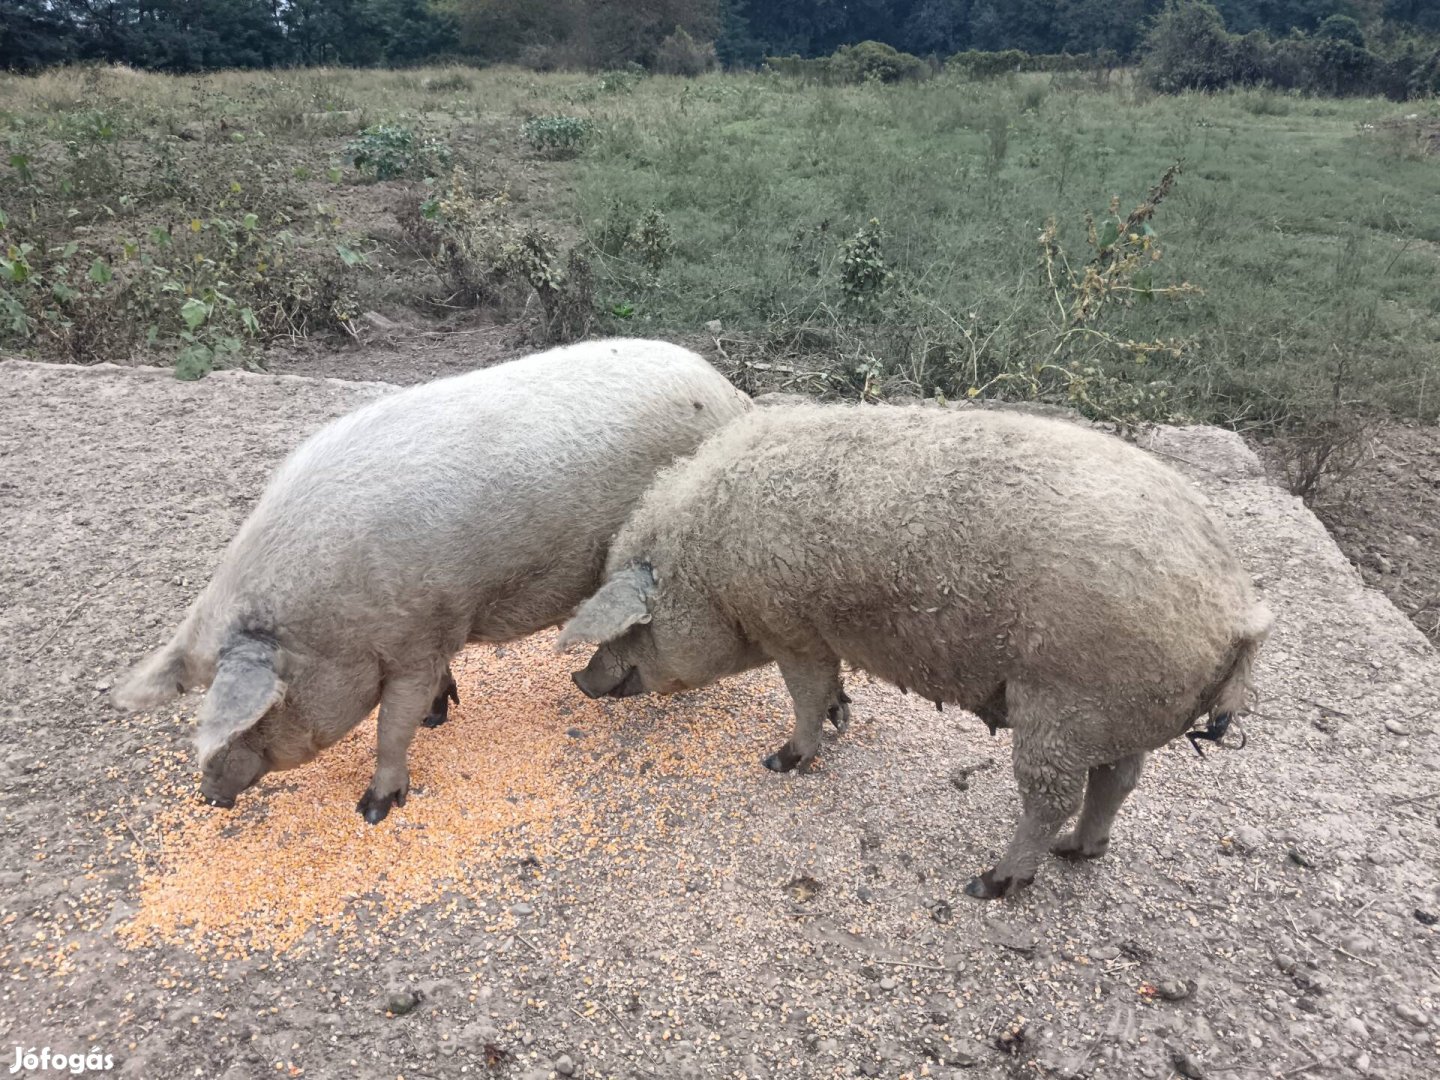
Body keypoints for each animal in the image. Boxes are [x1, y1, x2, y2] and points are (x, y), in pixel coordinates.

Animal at [112, 342, 754, 823]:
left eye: (264, 710)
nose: (208, 795)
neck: (336, 621)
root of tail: (729, 391)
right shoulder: (433, 633)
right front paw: (439, 716)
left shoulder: (416, 641)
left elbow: (391, 728)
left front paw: (374, 810)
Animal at [561, 403, 1272, 898]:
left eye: (629, 629)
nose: (580, 680)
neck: (706, 574)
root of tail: (1239, 610)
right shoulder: (813, 634)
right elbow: (829, 689)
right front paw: (840, 721)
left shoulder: (793, 627)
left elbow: (805, 695)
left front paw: (780, 762)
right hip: (1118, 711)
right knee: (1118, 781)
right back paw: (1077, 851)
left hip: (1065, 704)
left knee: (1053, 797)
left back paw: (989, 883)